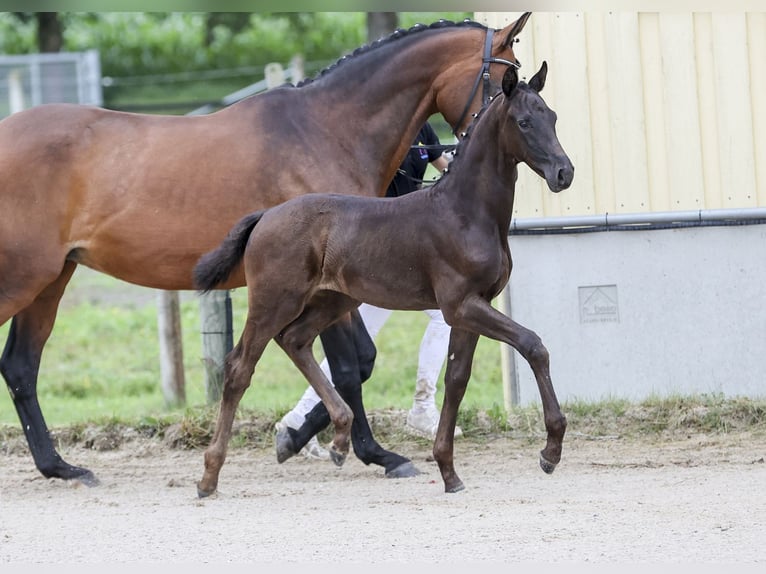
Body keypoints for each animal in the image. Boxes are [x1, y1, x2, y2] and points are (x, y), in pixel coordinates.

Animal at [0, 15, 536, 488]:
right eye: (509, 79)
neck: (325, 129)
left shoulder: (333, 287)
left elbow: (353, 362)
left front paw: (311, 439)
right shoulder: (330, 283)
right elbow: (351, 364)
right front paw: (358, 449)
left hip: (50, 280)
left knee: (21, 366)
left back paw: (61, 467)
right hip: (24, 279)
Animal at [195, 60, 572, 498]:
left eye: (553, 117)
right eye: (524, 122)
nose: (564, 173)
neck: (464, 212)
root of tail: (265, 216)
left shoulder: (472, 307)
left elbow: (457, 379)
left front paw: (448, 471)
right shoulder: (461, 305)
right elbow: (533, 345)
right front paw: (550, 451)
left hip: (332, 300)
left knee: (295, 340)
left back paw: (341, 438)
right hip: (275, 300)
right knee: (240, 367)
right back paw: (209, 475)